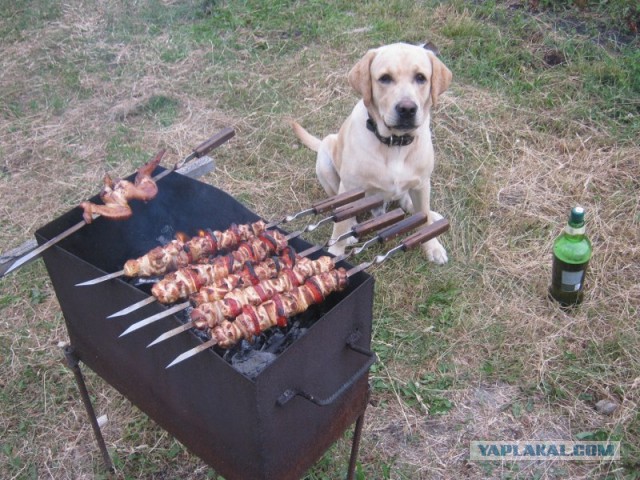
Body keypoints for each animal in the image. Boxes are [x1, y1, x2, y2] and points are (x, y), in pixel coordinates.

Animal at [292, 41, 452, 264]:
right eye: (384, 78)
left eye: (421, 77)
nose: (407, 109)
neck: (394, 144)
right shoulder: (350, 186)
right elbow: (339, 225)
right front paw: (335, 253)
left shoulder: (422, 184)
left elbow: (425, 219)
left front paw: (432, 246)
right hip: (325, 157)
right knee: (341, 209)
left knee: (414, 204)